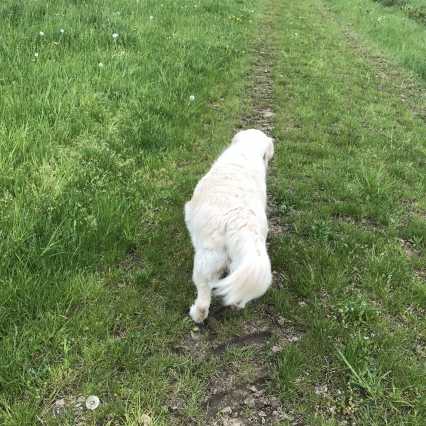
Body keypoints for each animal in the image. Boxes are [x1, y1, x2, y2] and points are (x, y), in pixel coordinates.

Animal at [184, 129, 274, 323]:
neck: (246, 150)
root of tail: (240, 220)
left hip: (207, 259)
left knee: (204, 296)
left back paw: (197, 314)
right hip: (241, 261)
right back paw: (236, 303)